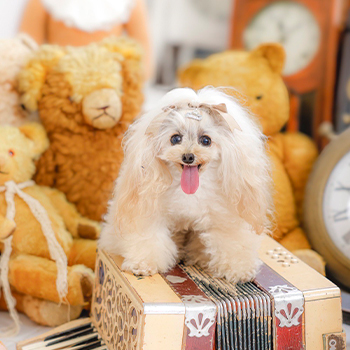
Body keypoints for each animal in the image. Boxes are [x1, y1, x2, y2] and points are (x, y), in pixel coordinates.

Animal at [99, 87, 274, 282]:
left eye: (205, 140)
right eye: (175, 139)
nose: (188, 156)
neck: (191, 192)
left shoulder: (225, 217)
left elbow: (230, 241)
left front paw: (238, 270)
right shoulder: (149, 212)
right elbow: (149, 237)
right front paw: (143, 264)